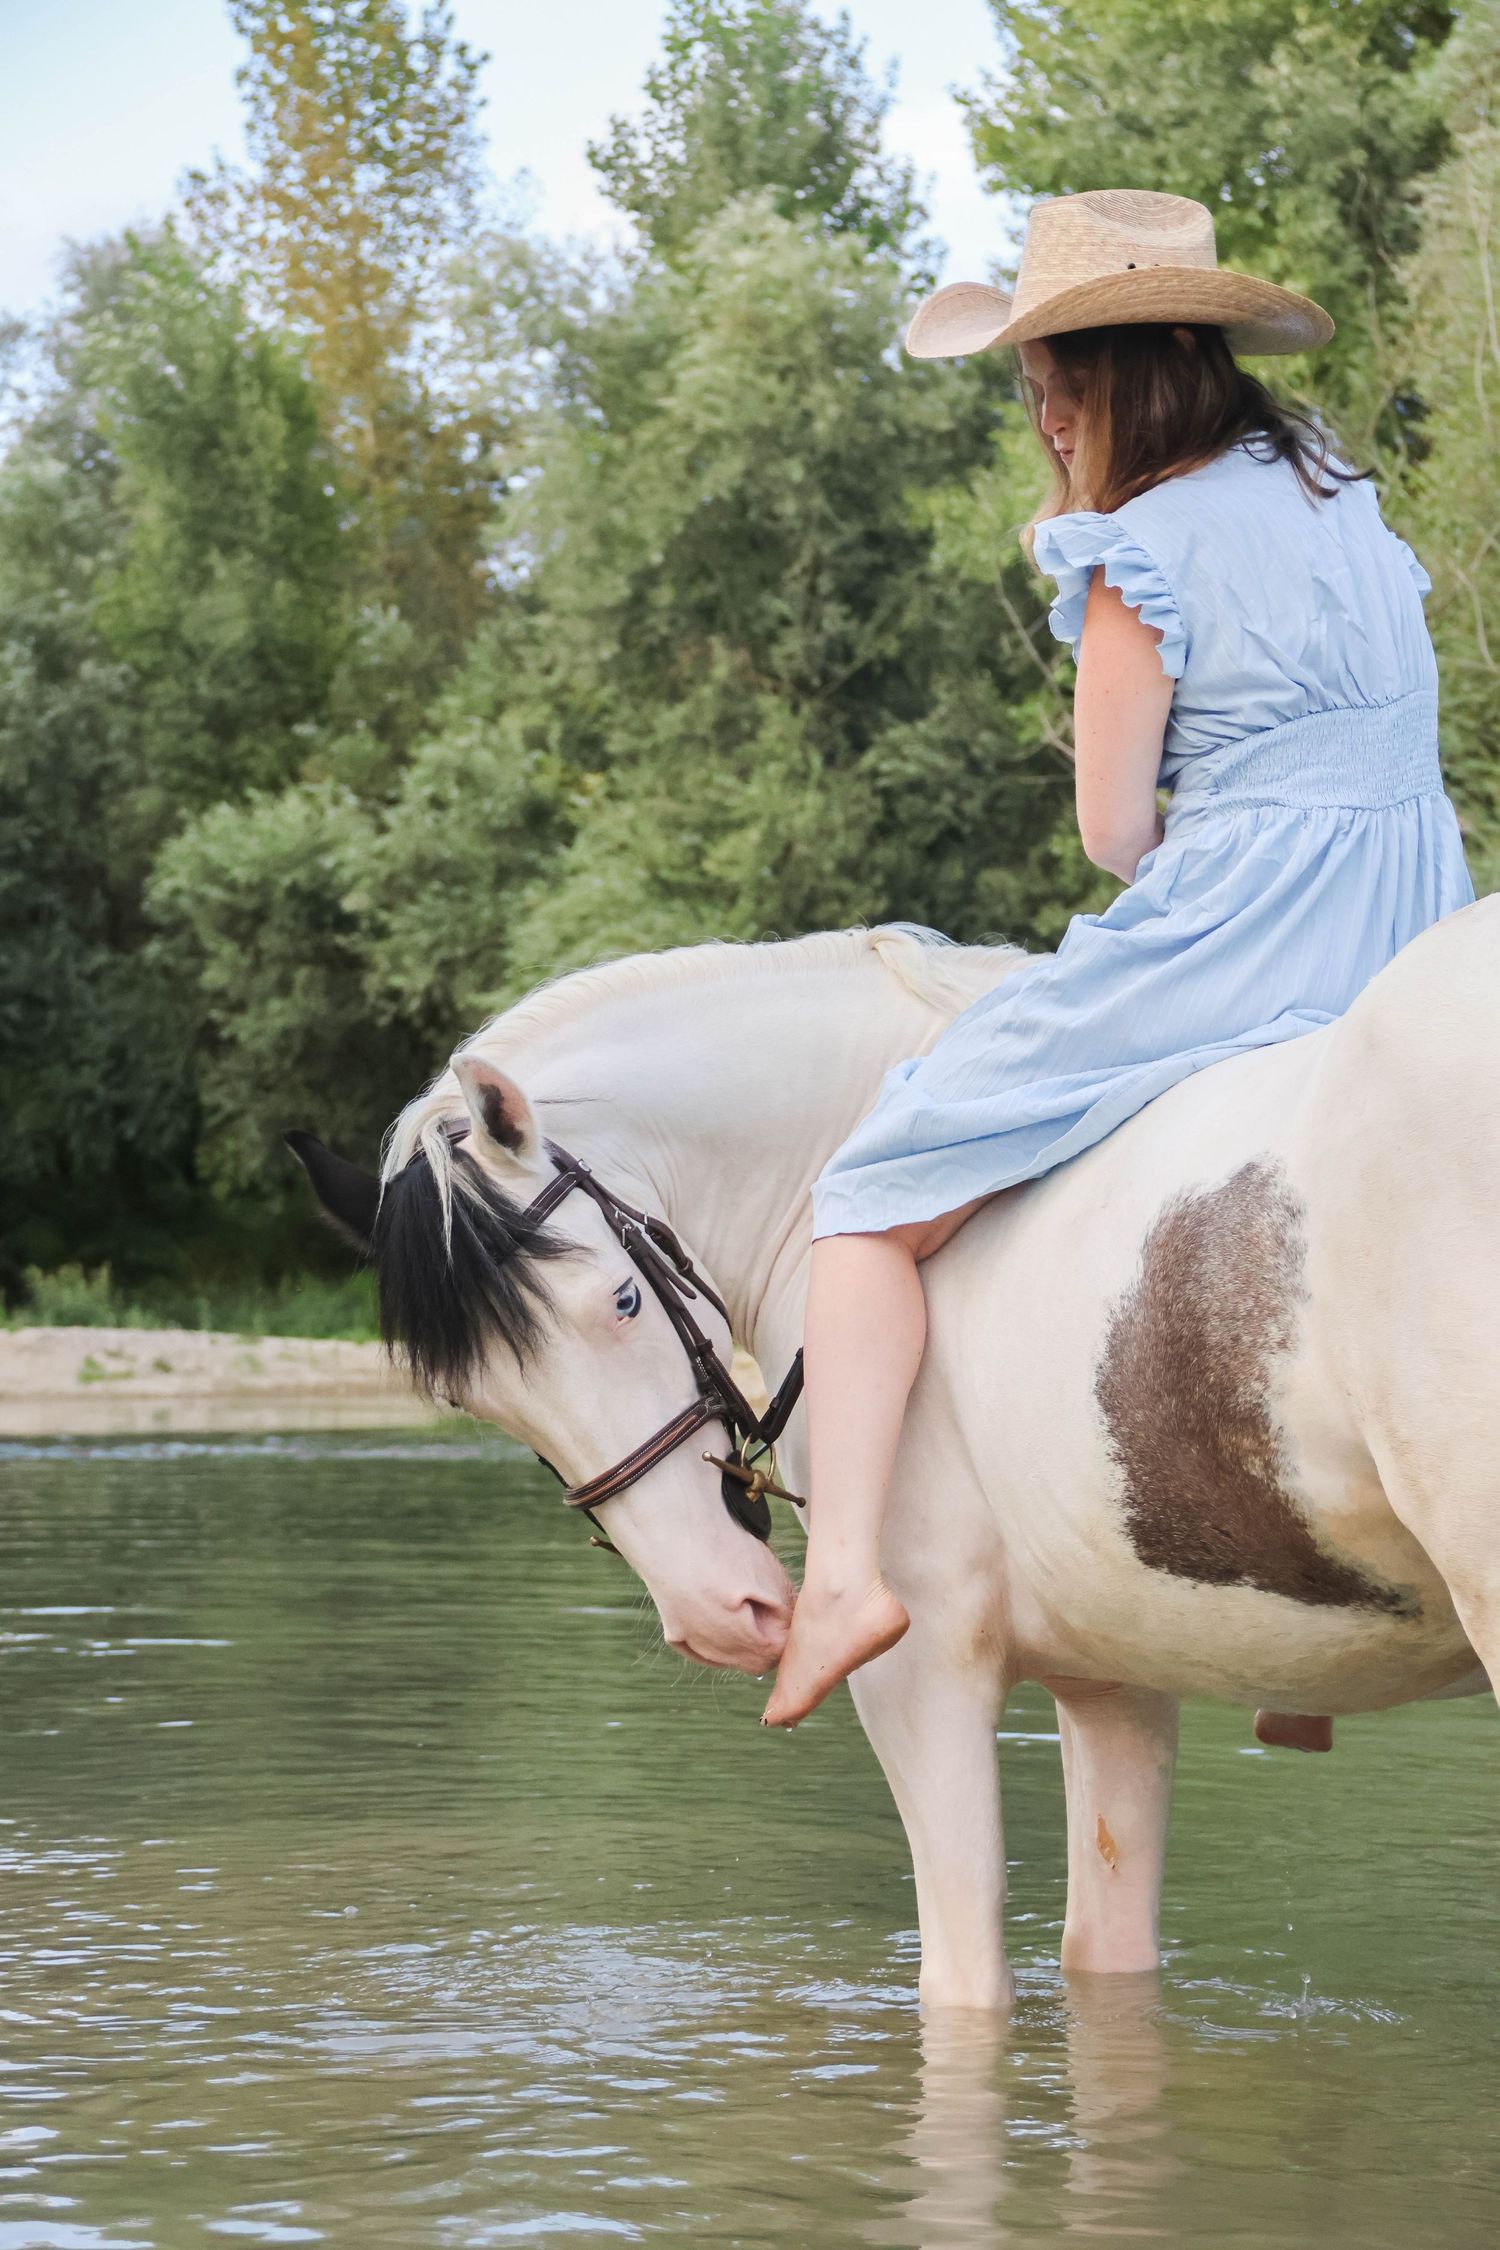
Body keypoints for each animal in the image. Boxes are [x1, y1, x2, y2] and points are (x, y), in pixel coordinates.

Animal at [289, 903, 1498, 2011]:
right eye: (477, 1399)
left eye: (624, 1301)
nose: (720, 1614)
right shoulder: (1113, 1679)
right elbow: (1105, 1963)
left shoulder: (921, 1673)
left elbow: (964, 1982)